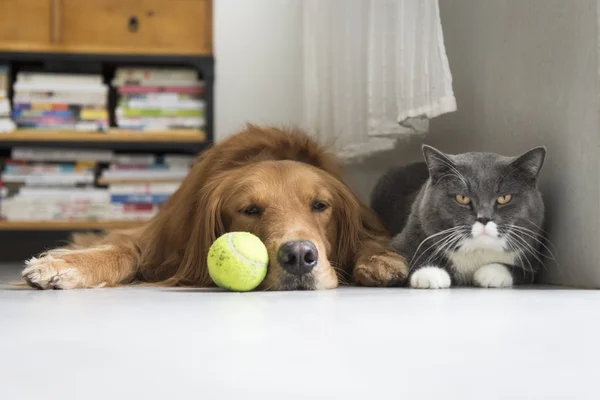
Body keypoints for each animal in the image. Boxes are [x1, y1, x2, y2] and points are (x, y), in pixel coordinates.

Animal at [22, 126, 408, 290]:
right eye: (250, 210)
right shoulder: (160, 238)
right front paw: (65, 265)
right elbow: (123, 251)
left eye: (320, 205)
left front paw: (381, 260)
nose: (299, 256)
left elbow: (369, 240)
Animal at [368, 145, 548, 290]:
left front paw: (491, 273)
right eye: (462, 198)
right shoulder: (409, 232)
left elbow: (523, 271)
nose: (484, 218)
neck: (477, 250)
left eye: (505, 198)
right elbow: (407, 254)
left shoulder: (532, 255)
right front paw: (430, 273)